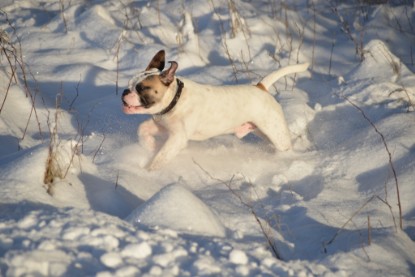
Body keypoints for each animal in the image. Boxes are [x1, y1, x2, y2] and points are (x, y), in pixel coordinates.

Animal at [121, 50, 308, 169]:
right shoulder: (164, 126)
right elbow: (142, 129)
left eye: (141, 88)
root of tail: (261, 88)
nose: (124, 92)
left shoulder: (177, 139)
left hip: (275, 132)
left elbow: (160, 158)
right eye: (130, 84)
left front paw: (147, 172)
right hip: (261, 130)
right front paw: (150, 145)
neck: (175, 99)